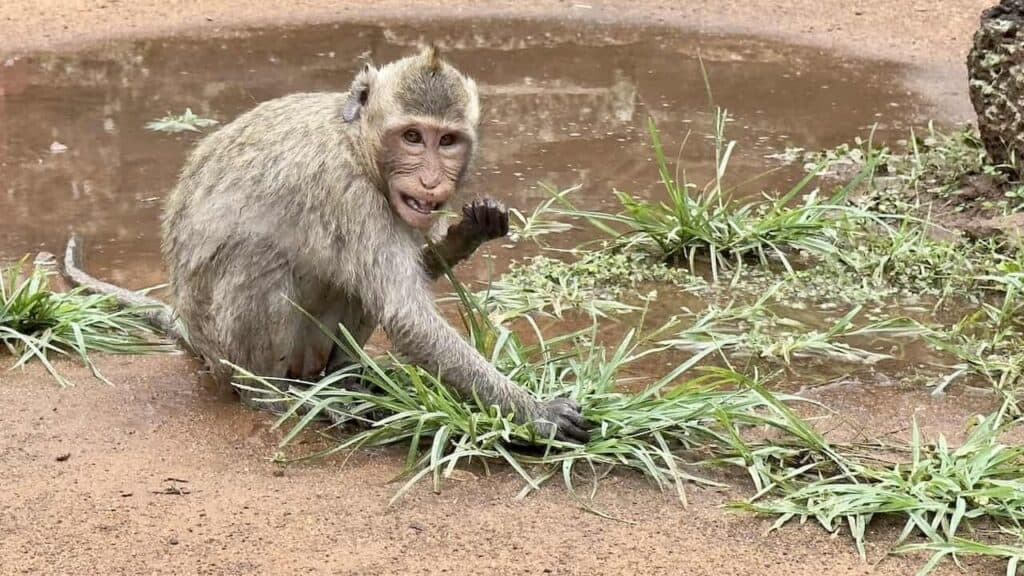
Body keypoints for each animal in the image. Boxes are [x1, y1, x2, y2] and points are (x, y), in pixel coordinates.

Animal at [63, 47, 590, 444]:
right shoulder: (348, 193)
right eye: (412, 137)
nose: (430, 180)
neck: (357, 141)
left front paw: (468, 231)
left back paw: (347, 379)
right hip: (230, 353)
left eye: (447, 141)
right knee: (260, 264)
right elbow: (406, 315)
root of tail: (196, 340)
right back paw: (277, 397)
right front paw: (537, 412)